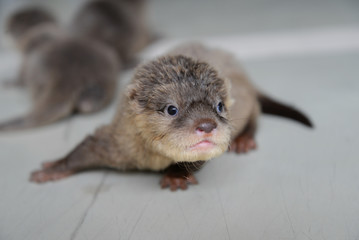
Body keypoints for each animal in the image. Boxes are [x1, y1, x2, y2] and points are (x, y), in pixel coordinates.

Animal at [30, 42, 312, 189]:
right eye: (171, 109)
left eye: (220, 106)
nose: (206, 125)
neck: (149, 160)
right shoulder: (115, 141)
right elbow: (84, 149)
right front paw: (53, 169)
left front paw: (176, 175)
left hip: (248, 100)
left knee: (255, 115)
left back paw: (244, 140)